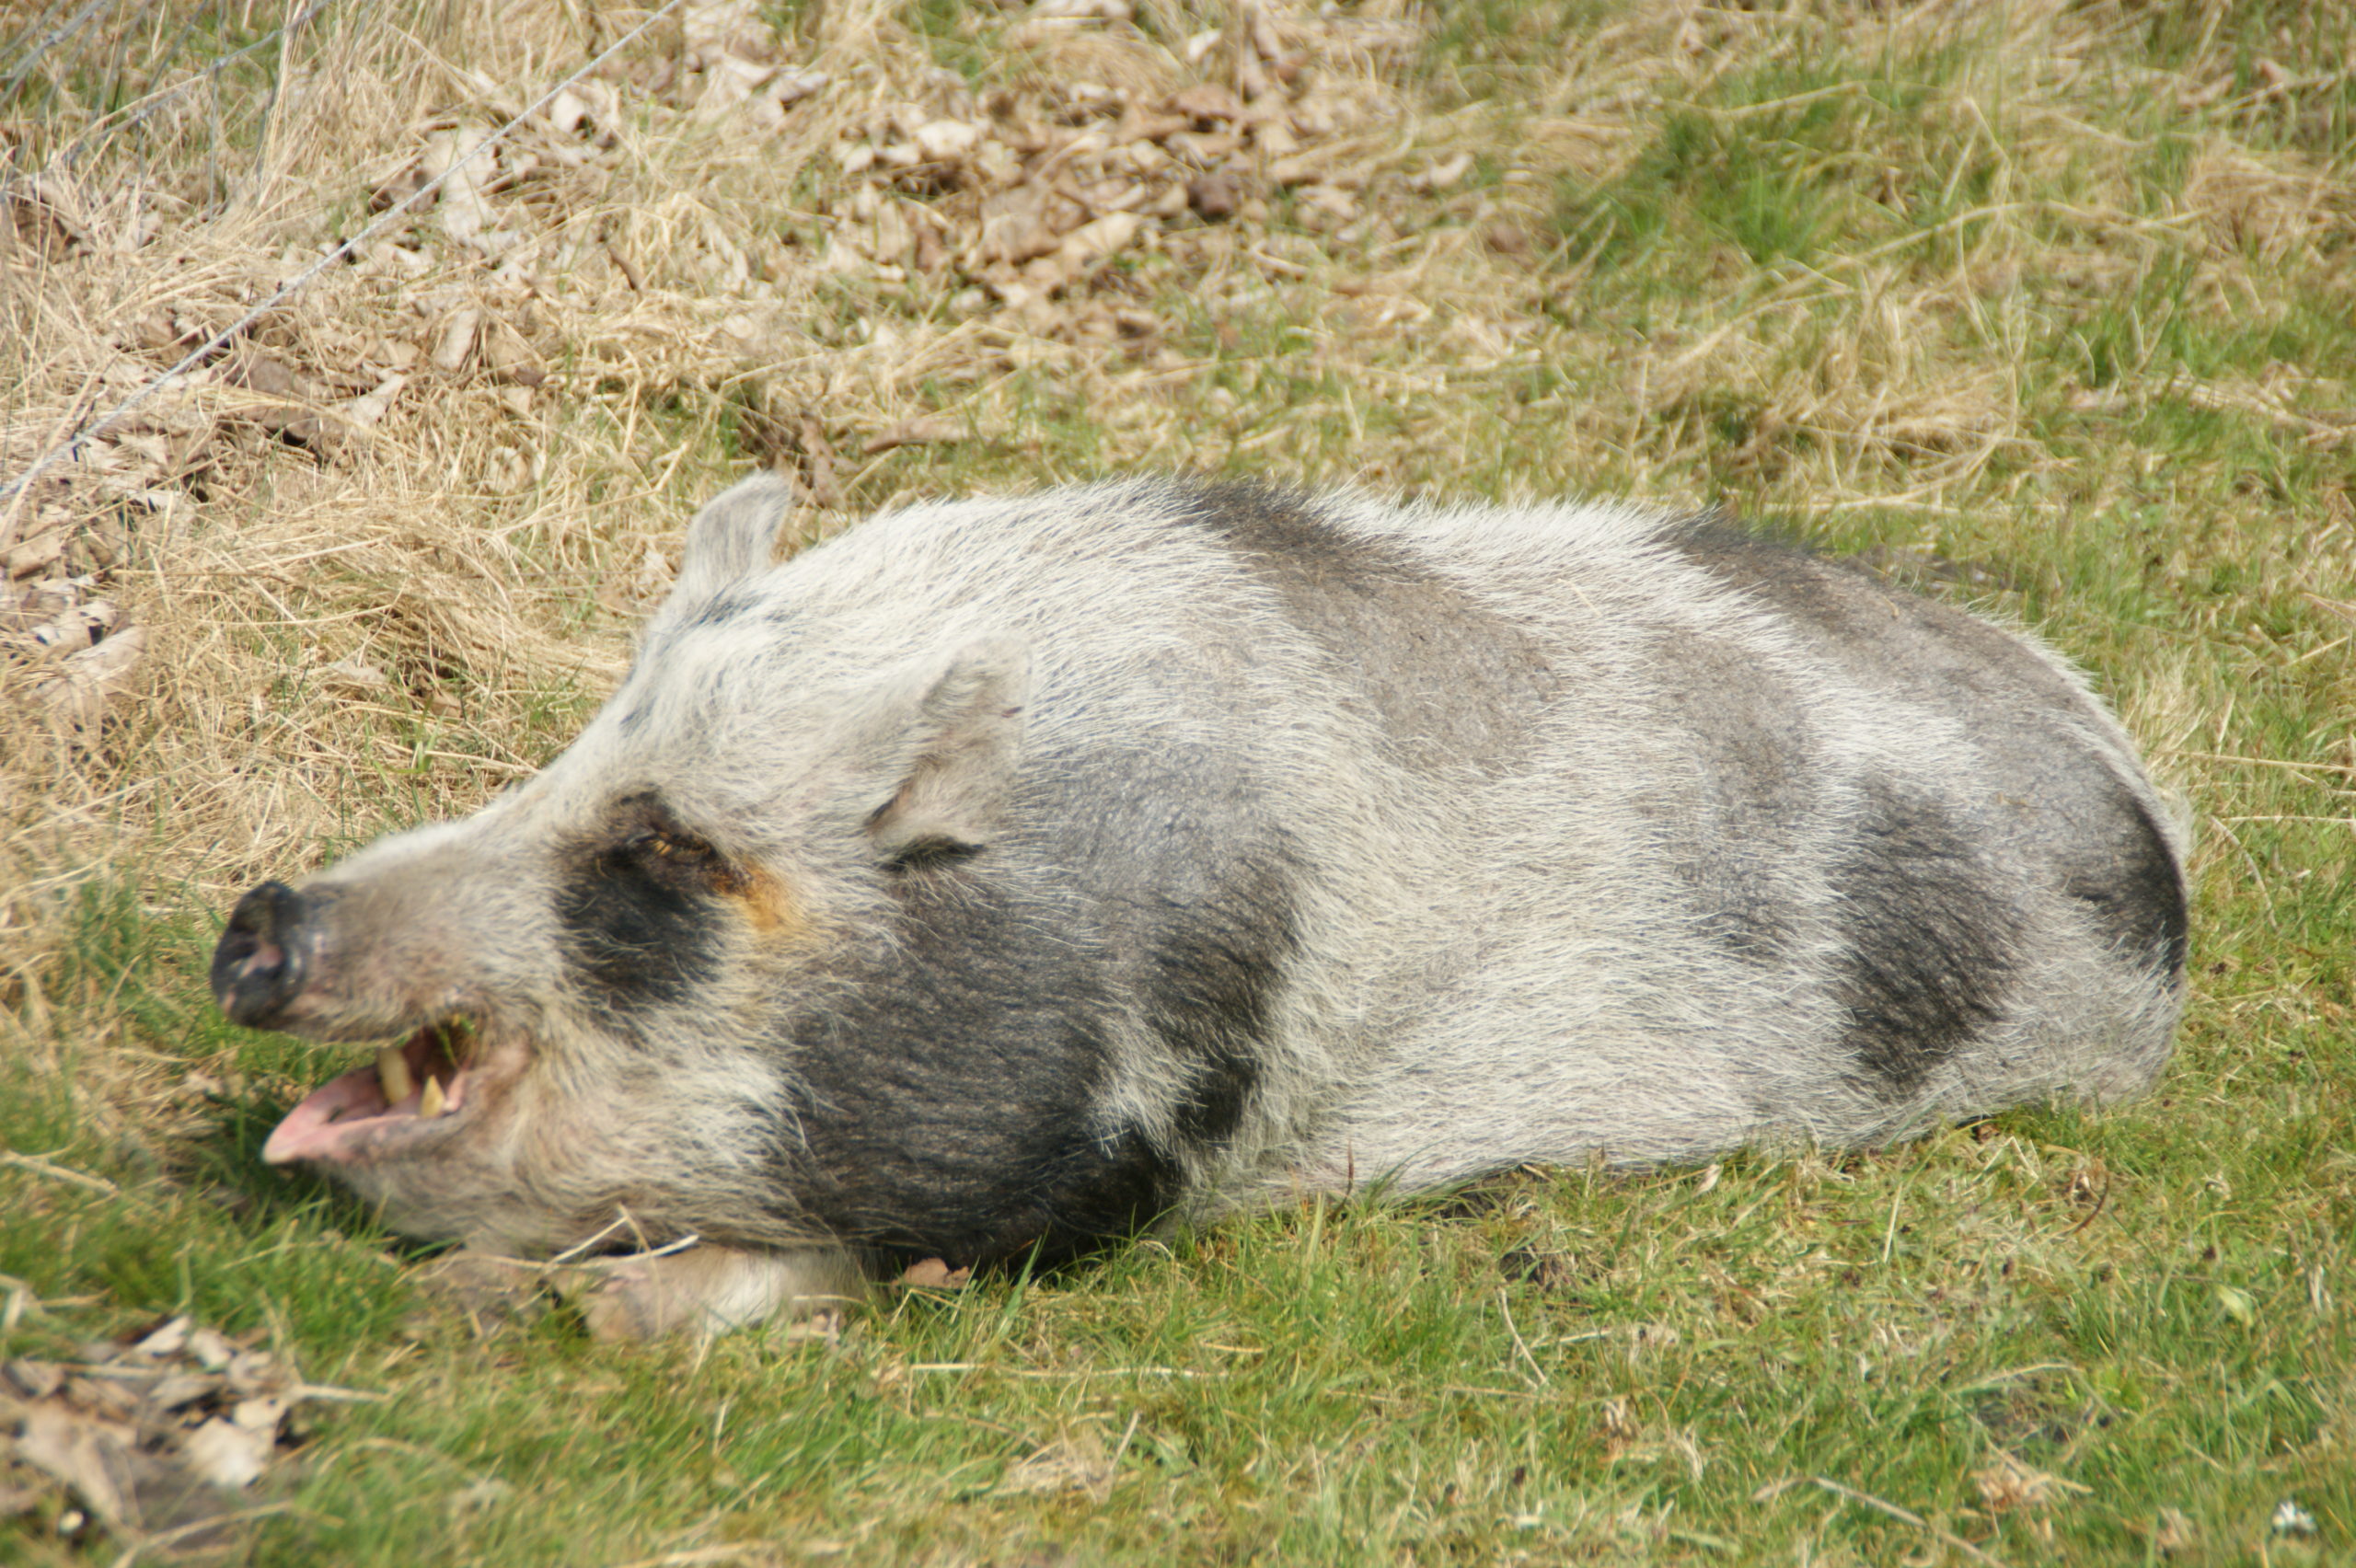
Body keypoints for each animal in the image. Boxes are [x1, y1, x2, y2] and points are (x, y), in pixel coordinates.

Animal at [207, 473, 2186, 1328]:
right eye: (568, 751)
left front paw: (576, 1311)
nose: (258, 921)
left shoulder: (1130, 1137)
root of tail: (2154, 816)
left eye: (672, 850)